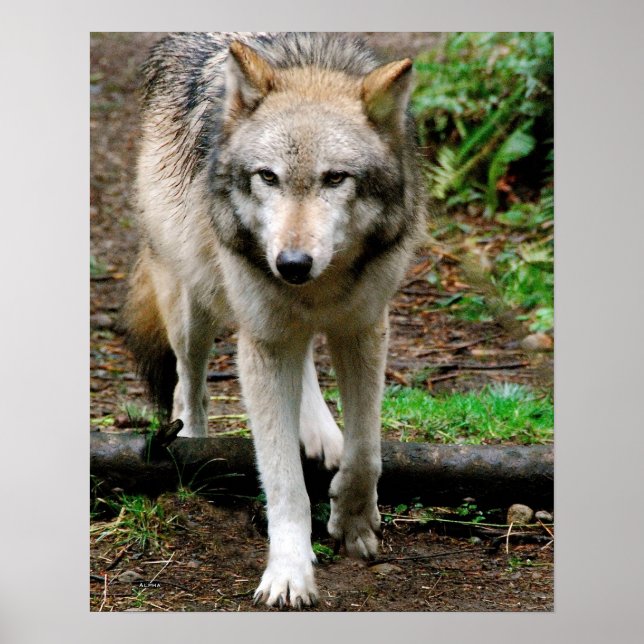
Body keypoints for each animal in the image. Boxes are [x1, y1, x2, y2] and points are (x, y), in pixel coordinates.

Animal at [124, 32, 426, 608]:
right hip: (196, 305)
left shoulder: (363, 327)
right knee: (189, 387)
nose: (292, 264)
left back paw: (321, 433)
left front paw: (354, 523)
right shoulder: (262, 339)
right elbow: (284, 480)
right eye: (268, 177)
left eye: (335, 179)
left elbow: (365, 451)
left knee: (302, 361)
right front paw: (289, 573)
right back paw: (194, 447)